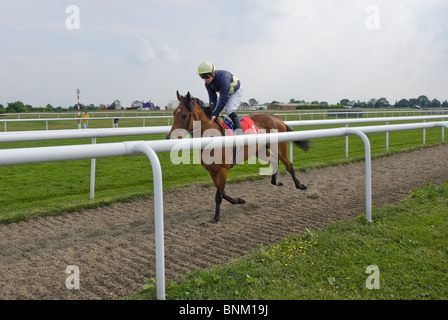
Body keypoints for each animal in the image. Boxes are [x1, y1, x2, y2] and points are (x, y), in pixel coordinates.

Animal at [166, 91, 310, 224]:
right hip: (260, 150)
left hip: (279, 147)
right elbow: (222, 193)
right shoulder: (212, 171)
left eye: (184, 115)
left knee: (289, 165)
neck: (212, 136)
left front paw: (216, 217)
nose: (168, 138)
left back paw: (300, 185)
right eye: (173, 113)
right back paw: (276, 181)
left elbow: (218, 195)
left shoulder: (223, 169)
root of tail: (277, 118)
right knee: (274, 161)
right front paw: (239, 200)